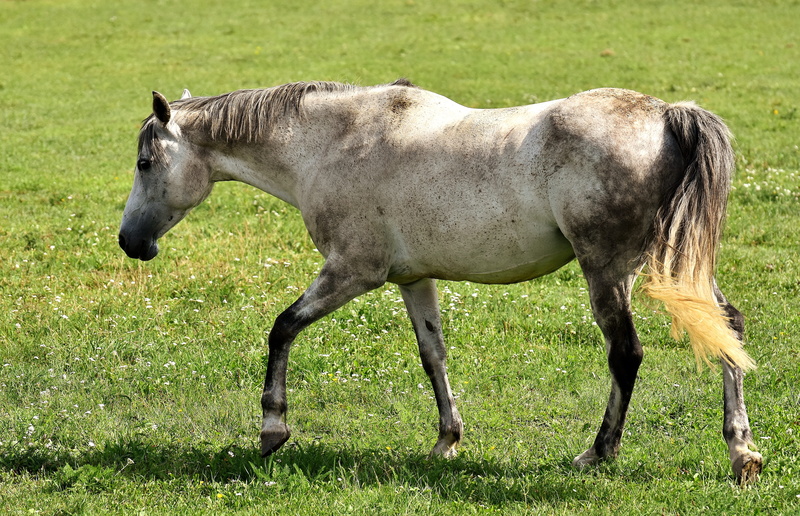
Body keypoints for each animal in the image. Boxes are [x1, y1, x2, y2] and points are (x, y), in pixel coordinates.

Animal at [119, 79, 762, 483]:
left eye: (145, 163)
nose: (130, 242)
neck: (329, 143)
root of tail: (666, 114)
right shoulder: (413, 280)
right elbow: (434, 356)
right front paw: (447, 440)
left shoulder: (352, 273)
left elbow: (282, 328)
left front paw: (272, 427)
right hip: (672, 265)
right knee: (727, 327)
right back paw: (741, 450)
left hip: (609, 269)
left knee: (626, 353)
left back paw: (598, 453)